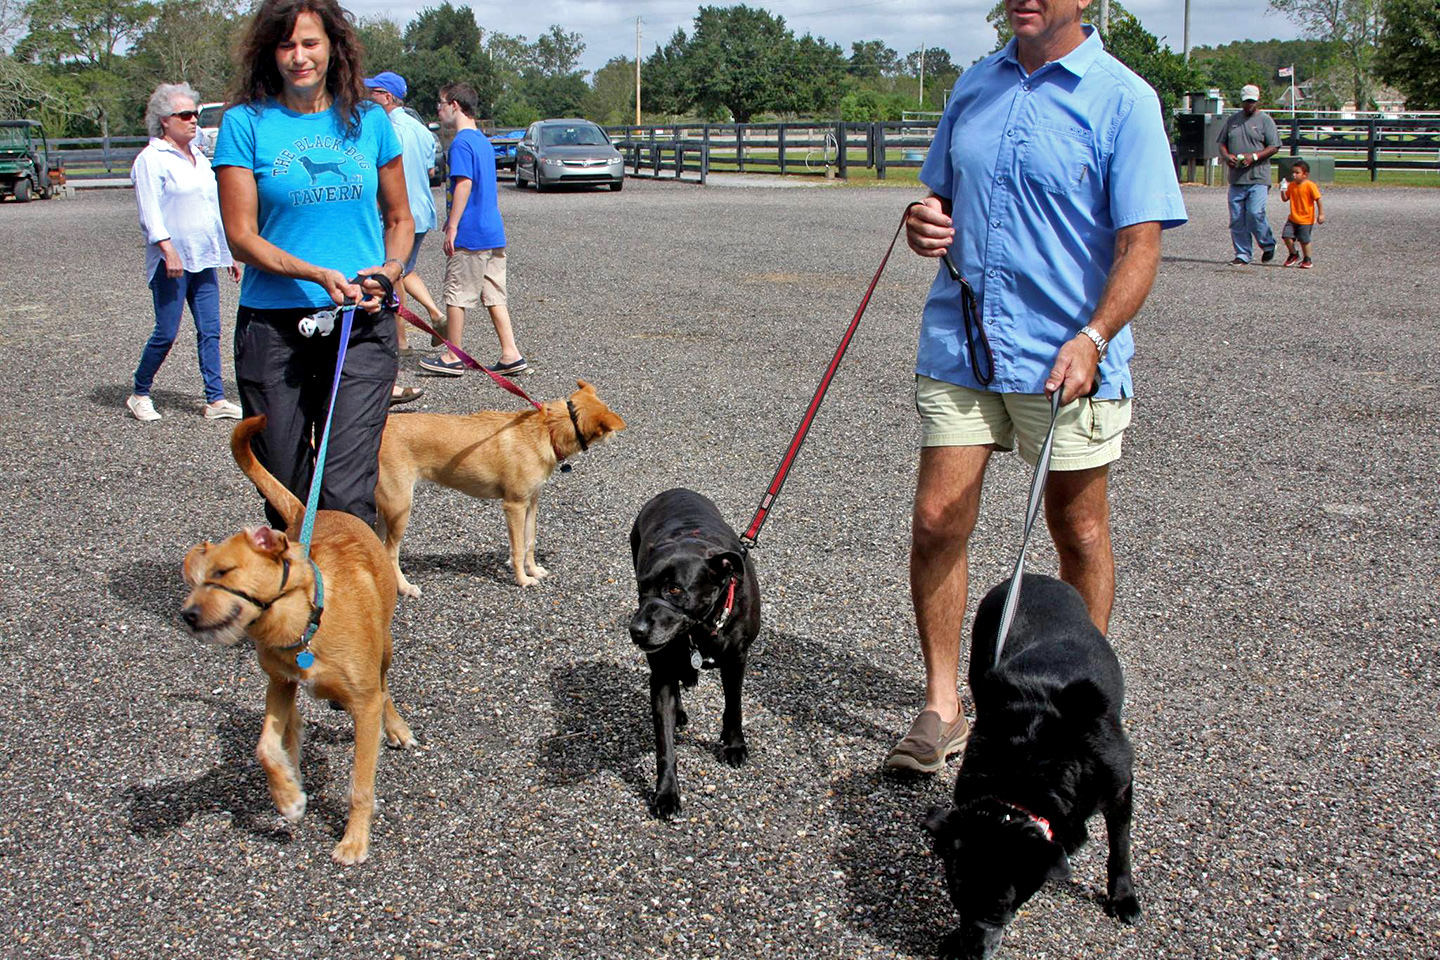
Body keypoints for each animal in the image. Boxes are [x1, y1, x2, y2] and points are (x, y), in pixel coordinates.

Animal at [181, 417, 417, 869]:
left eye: (223, 572)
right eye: (193, 581)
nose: (188, 615)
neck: (303, 623)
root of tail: (310, 512)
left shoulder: (364, 704)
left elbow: (361, 782)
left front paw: (354, 840)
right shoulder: (280, 683)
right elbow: (265, 748)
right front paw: (288, 796)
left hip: (386, 647)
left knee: (386, 688)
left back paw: (395, 728)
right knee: (291, 729)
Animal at [380, 379, 627, 595]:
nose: (618, 435)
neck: (547, 430)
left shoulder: (531, 503)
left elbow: (529, 541)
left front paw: (533, 570)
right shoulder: (514, 505)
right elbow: (517, 548)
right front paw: (522, 579)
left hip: (386, 510)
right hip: (400, 508)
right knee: (390, 552)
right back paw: (404, 587)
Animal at [630, 495, 766, 817]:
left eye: (674, 589)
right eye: (643, 587)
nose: (635, 631)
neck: (701, 626)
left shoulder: (736, 660)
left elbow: (733, 707)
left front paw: (733, 746)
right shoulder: (662, 673)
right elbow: (664, 744)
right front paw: (666, 793)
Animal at [927, 575, 1140, 955]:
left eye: (1002, 906)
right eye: (957, 899)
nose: (974, 950)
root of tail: (1032, 577)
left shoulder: (1120, 786)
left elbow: (1120, 848)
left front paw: (1123, 897)